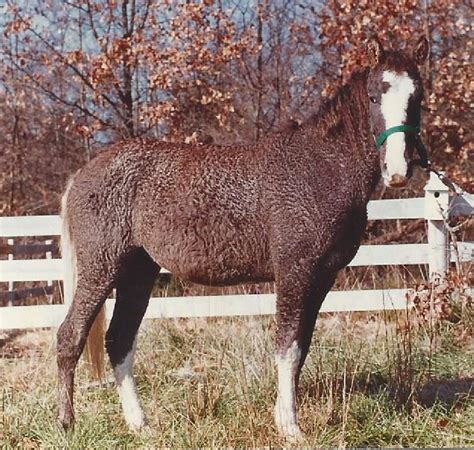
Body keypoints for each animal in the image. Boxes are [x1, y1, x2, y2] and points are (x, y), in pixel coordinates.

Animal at [56, 38, 430, 440]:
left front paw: (284, 417)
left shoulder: (322, 277)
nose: (398, 172)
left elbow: (301, 347)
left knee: (119, 340)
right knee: (70, 336)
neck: (320, 167)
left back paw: (141, 425)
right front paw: (290, 427)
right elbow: (287, 346)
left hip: (138, 273)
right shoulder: (295, 272)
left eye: (417, 97)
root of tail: (82, 174)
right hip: (101, 269)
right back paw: (67, 423)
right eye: (375, 96)